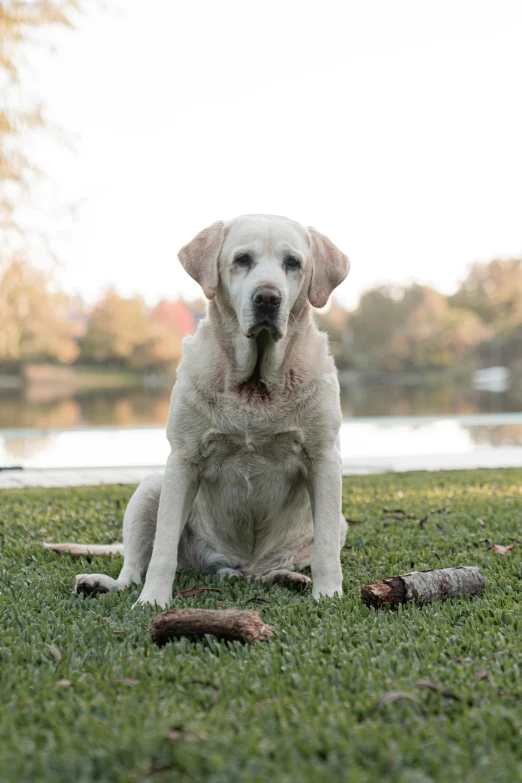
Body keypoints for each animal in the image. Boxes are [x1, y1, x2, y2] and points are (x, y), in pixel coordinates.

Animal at [72, 214, 350, 608]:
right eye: (243, 259)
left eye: (293, 263)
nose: (267, 298)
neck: (254, 384)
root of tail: (242, 567)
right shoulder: (183, 459)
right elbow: (162, 550)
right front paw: (153, 601)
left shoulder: (324, 458)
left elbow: (325, 551)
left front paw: (328, 595)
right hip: (150, 489)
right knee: (133, 566)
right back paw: (102, 583)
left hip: (338, 521)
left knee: (285, 563)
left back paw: (287, 577)